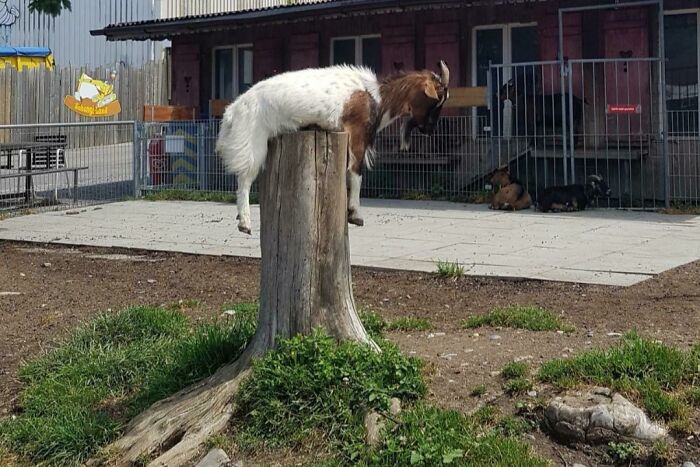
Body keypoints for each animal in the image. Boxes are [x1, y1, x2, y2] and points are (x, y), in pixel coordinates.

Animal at [216, 62, 450, 234]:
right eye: (438, 99)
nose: (430, 129)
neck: (376, 97)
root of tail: (233, 110)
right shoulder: (356, 134)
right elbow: (355, 174)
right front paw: (355, 214)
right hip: (252, 140)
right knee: (244, 179)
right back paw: (244, 222)